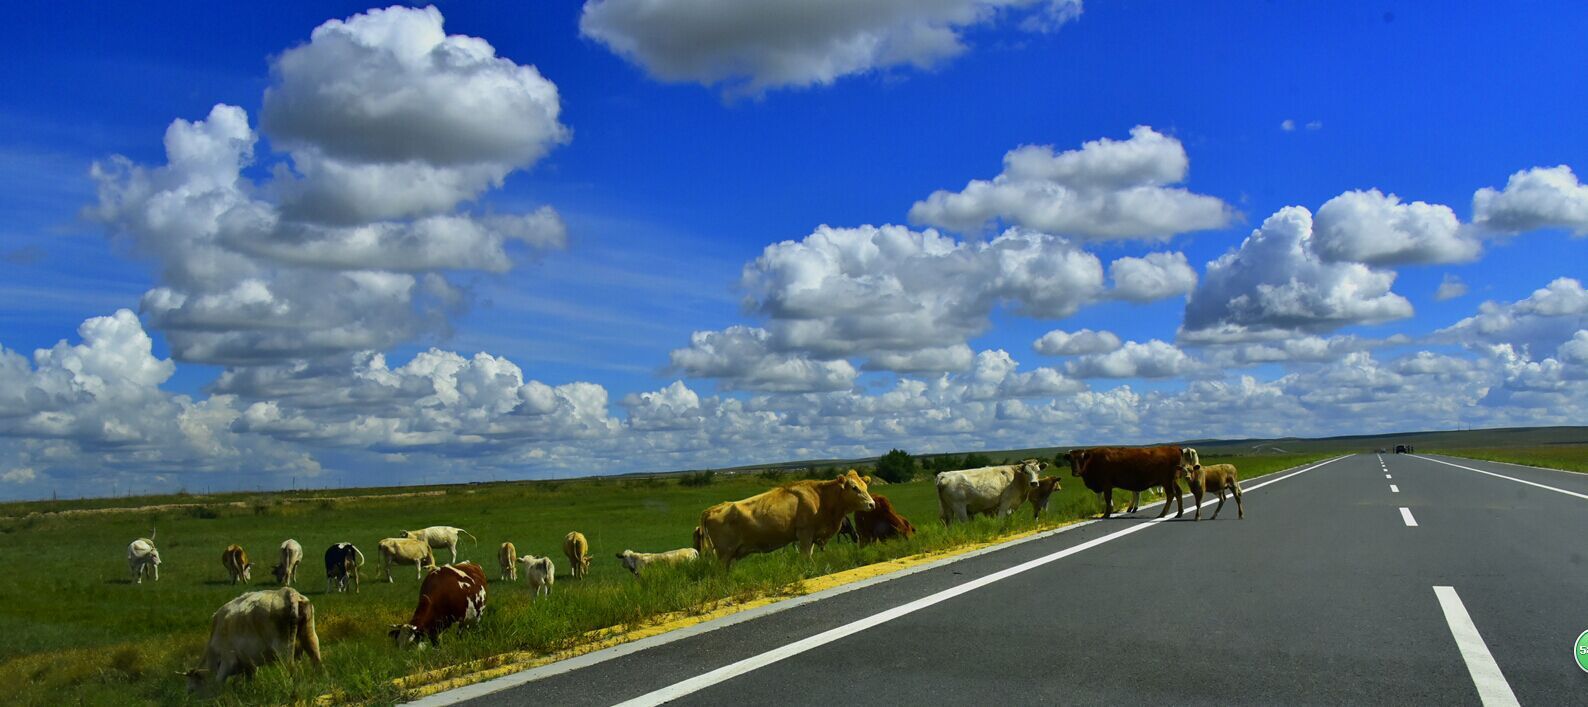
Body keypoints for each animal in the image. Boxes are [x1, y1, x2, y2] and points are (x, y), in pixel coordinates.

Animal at [183, 584, 319, 689]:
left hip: (283, 648)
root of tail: (289, 592)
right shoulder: (249, 665)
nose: (189, 694)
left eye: (194, 684)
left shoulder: (228, 660)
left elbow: (219, 681)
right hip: (310, 637)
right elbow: (251, 679)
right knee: (317, 661)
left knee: (291, 668)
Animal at [695, 467, 876, 568]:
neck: (820, 497)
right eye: (854, 488)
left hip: (729, 556)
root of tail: (714, 508)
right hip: (724, 554)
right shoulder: (805, 533)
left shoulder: (811, 536)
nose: (872, 504)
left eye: (865, 486)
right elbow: (806, 557)